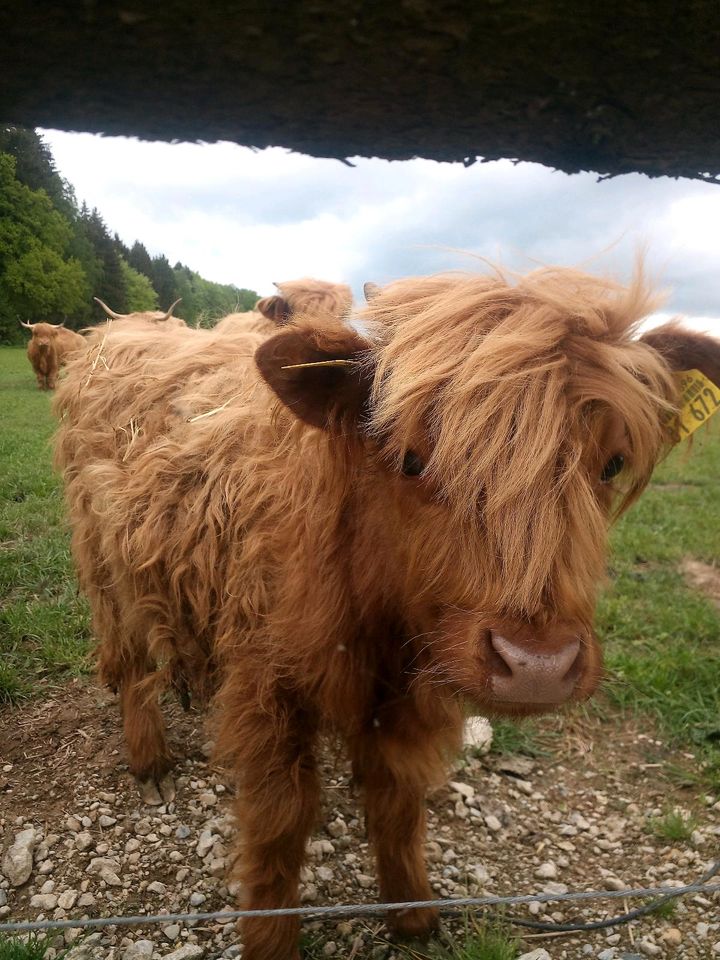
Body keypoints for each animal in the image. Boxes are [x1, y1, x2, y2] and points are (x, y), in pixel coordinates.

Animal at [54, 266, 720, 960]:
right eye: (412, 460)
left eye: (611, 464)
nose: (536, 665)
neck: (373, 613)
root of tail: (121, 327)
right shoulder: (268, 688)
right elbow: (278, 825)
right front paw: (271, 939)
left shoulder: (408, 691)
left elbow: (399, 801)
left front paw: (414, 916)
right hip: (105, 563)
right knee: (131, 664)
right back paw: (150, 762)